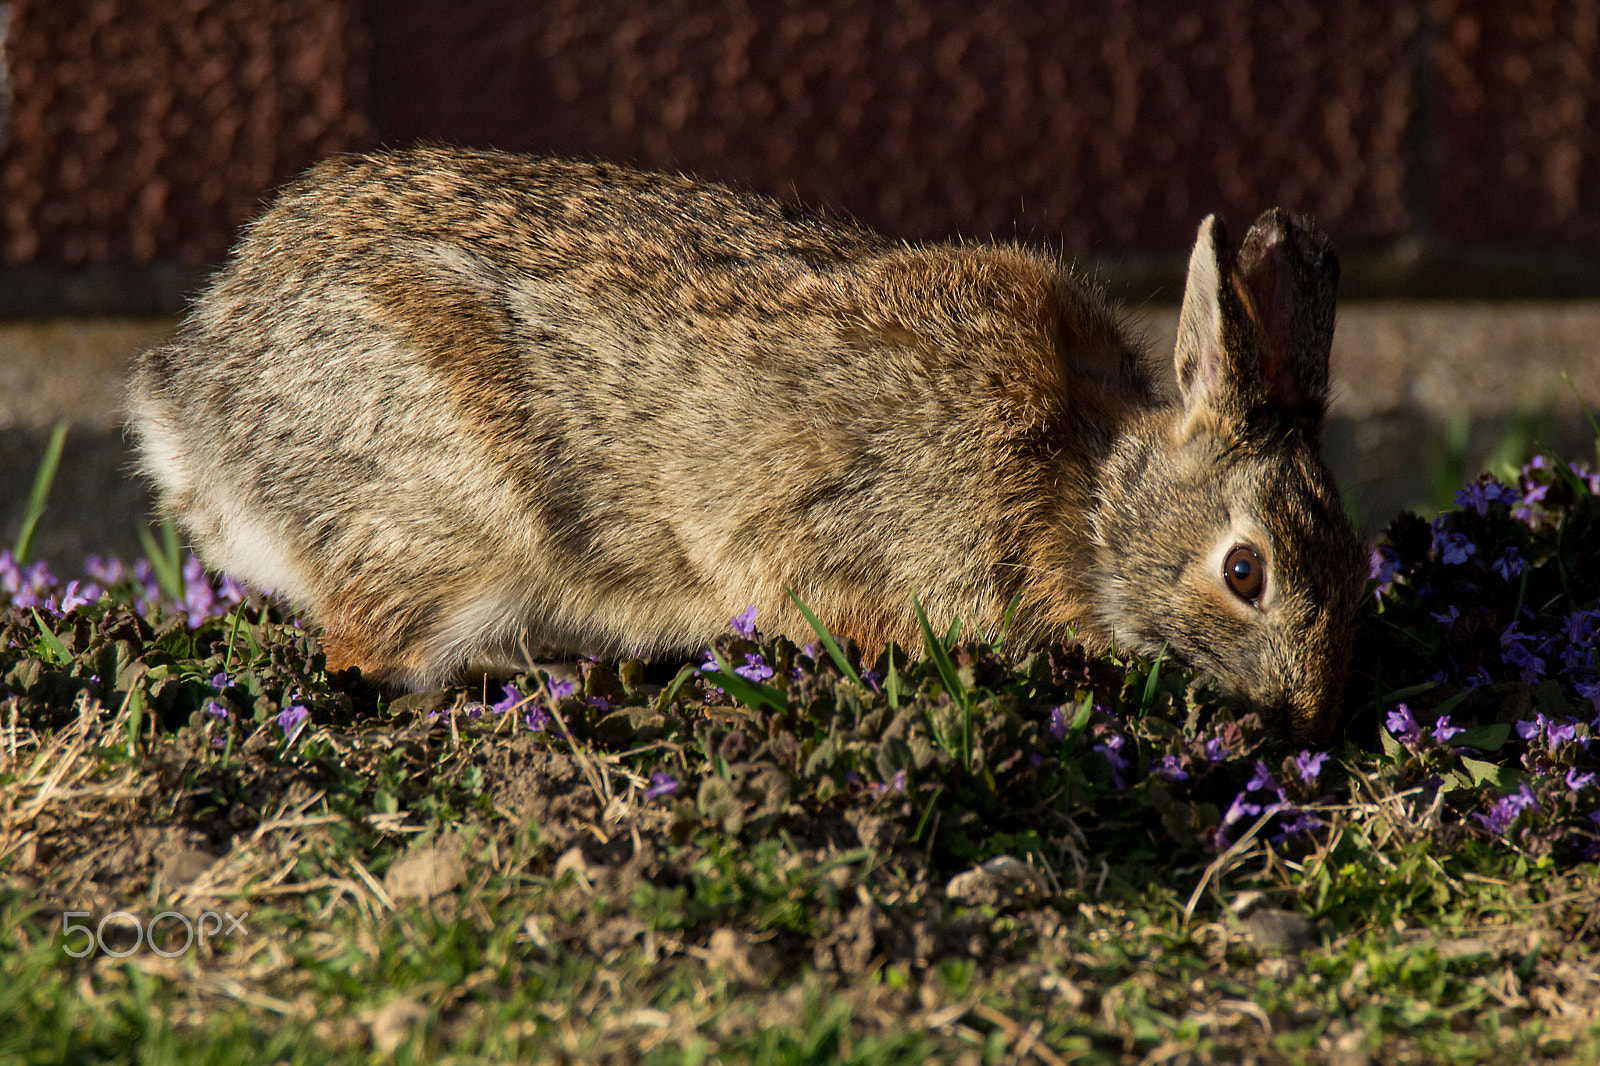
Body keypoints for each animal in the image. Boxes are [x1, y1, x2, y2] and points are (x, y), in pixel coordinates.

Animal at [128, 145, 1369, 742]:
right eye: (1244, 572)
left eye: (1355, 566)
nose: (1311, 715)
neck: (1088, 490)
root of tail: (197, 408)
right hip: (449, 511)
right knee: (371, 651)